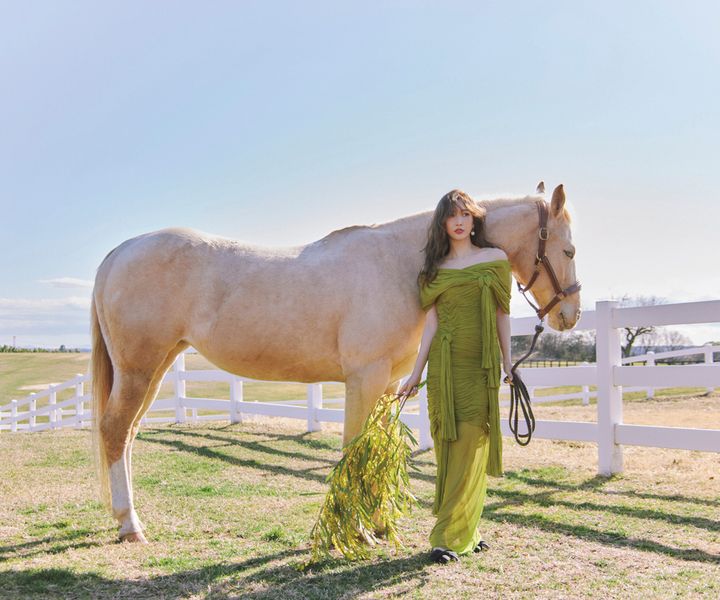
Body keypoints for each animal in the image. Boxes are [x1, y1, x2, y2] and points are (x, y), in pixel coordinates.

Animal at [91, 183, 581, 542]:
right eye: (569, 251)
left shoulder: (388, 385)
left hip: (155, 368)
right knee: (115, 430)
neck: (399, 264)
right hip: (139, 369)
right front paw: (358, 531)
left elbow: (378, 447)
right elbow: (354, 449)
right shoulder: (364, 379)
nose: (569, 315)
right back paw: (130, 525)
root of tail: (120, 252)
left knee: (129, 433)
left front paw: (380, 525)